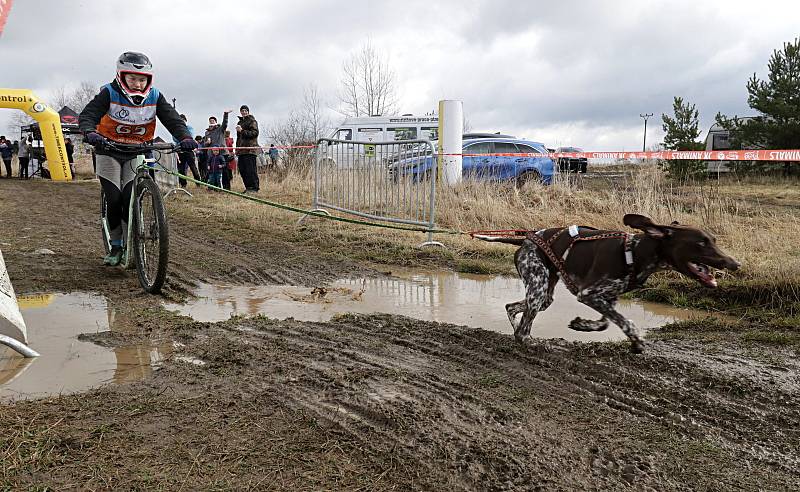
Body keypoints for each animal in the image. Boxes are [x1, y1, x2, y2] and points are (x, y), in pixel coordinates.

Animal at [478, 213, 740, 352]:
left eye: (713, 240)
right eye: (701, 243)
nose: (736, 264)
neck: (634, 252)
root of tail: (526, 239)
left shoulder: (607, 298)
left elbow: (605, 322)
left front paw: (583, 325)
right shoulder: (589, 294)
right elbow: (627, 322)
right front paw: (636, 342)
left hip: (543, 294)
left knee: (513, 308)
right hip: (538, 288)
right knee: (523, 329)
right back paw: (530, 341)